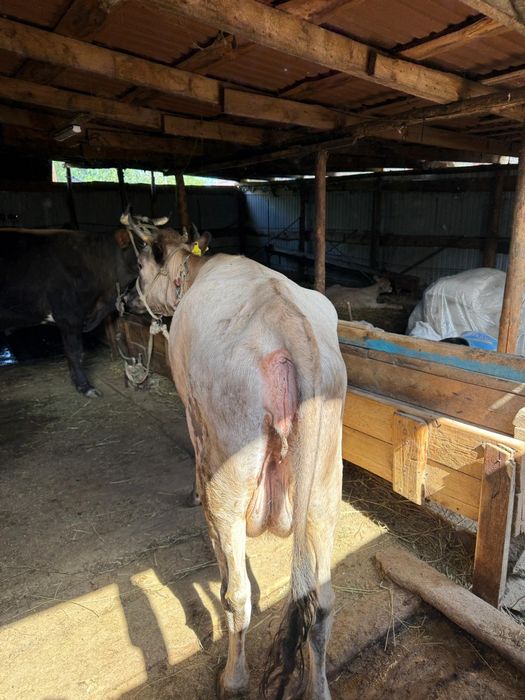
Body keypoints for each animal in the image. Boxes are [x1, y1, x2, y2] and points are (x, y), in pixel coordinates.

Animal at [123, 212, 347, 700]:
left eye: (140, 266)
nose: (123, 298)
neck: (193, 271)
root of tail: (286, 319)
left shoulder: (192, 410)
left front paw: (192, 497)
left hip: (231, 467)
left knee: (237, 595)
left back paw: (233, 677)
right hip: (325, 485)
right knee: (322, 602)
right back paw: (318, 687)